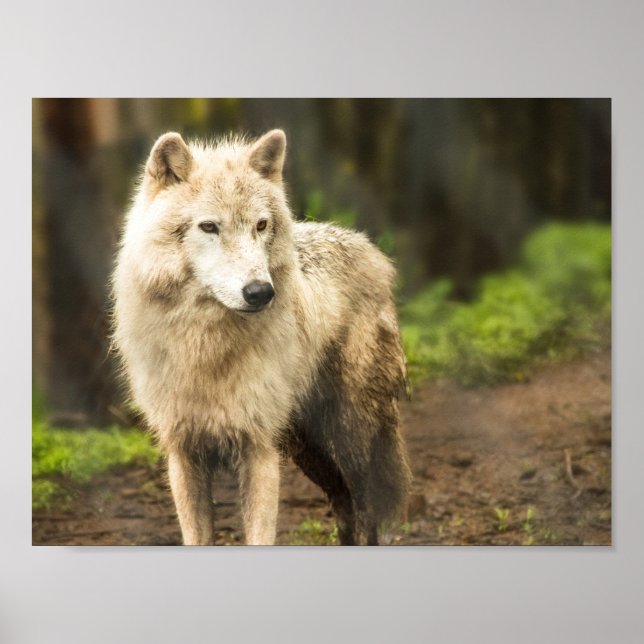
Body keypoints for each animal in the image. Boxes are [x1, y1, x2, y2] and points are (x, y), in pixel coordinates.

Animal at [112, 129, 411, 545]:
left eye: (260, 225)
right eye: (209, 227)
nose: (260, 292)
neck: (204, 346)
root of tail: (371, 251)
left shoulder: (259, 450)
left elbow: (260, 534)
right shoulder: (184, 453)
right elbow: (197, 536)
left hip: (354, 437)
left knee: (371, 513)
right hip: (310, 451)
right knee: (344, 506)